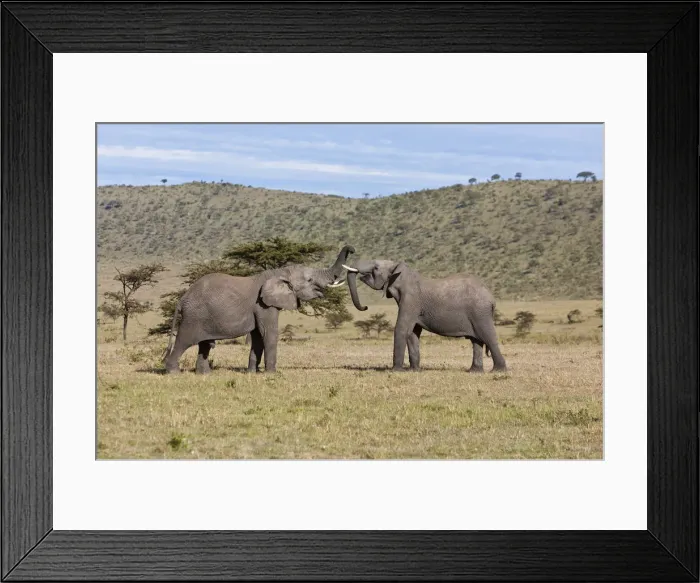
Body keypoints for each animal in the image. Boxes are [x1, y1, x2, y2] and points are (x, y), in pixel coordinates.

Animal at [163, 245, 355, 374]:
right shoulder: (263, 305)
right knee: (184, 340)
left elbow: (257, 336)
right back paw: (174, 373)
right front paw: (272, 374)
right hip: (194, 316)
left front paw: (251, 373)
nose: (352, 249)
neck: (279, 272)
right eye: (309, 280)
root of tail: (182, 298)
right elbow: (268, 333)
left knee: (204, 345)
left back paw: (205, 375)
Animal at [344, 259, 507, 373]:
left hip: (480, 312)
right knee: (476, 341)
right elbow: (413, 333)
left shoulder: (410, 301)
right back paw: (474, 371)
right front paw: (414, 370)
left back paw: (498, 371)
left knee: (488, 337)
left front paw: (396, 370)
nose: (365, 307)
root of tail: (491, 298)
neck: (399, 269)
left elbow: (402, 328)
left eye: (376, 268)